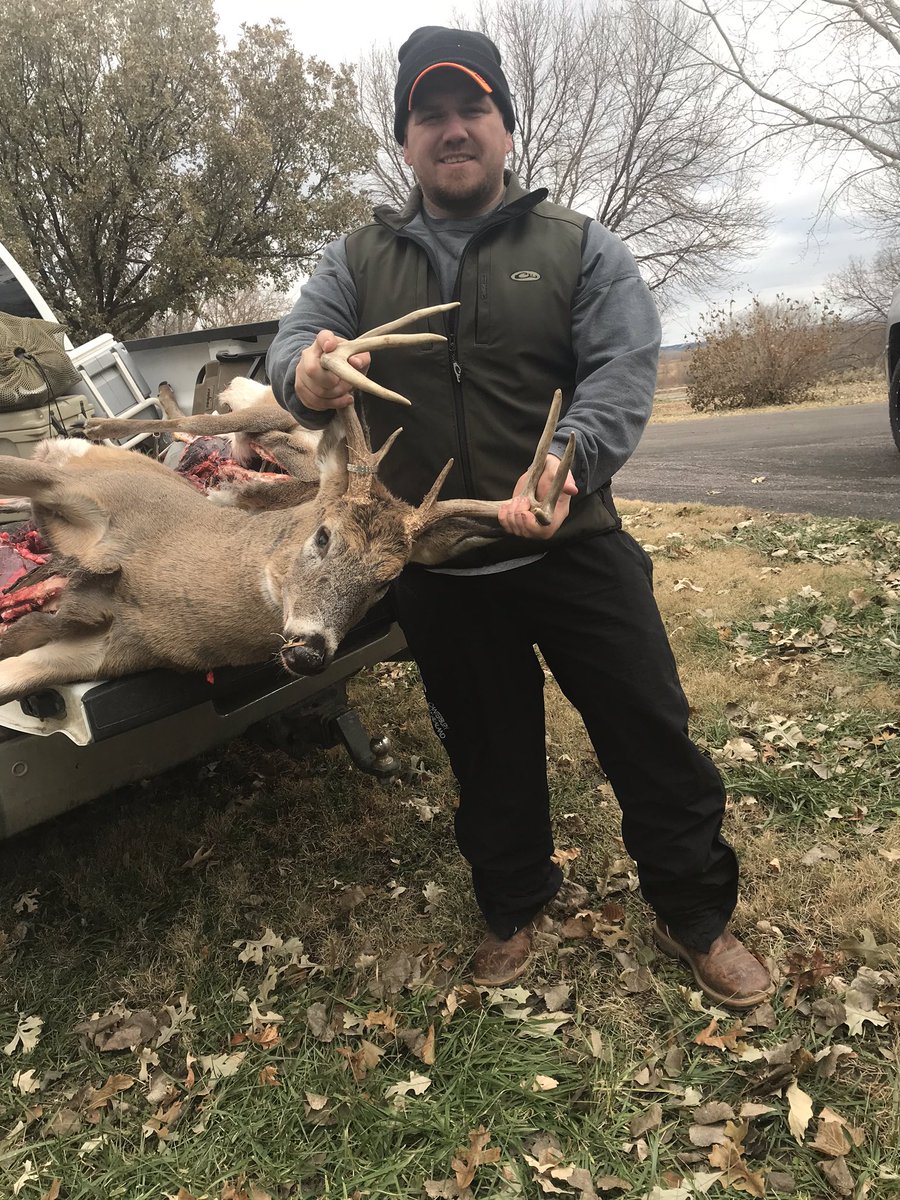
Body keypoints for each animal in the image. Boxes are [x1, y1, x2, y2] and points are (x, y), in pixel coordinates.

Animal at [0, 305, 574, 705]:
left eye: (388, 580)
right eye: (323, 536)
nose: (310, 651)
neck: (157, 565)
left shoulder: (118, 648)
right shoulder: (76, 489)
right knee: (188, 422)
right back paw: (99, 425)